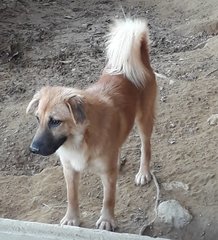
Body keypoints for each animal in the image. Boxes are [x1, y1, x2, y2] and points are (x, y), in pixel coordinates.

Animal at [26, 18, 157, 231]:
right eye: (38, 119)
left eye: (55, 121)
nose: (33, 149)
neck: (80, 139)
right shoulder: (69, 170)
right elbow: (71, 196)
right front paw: (72, 218)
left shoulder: (108, 175)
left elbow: (108, 199)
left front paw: (107, 220)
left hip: (144, 121)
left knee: (146, 148)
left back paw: (143, 172)